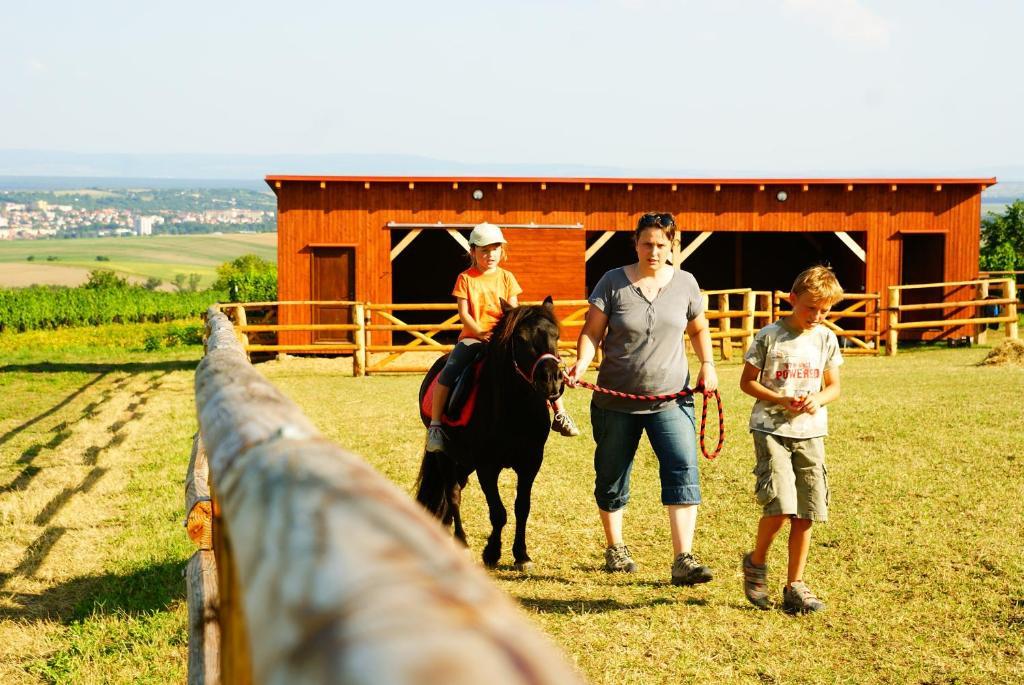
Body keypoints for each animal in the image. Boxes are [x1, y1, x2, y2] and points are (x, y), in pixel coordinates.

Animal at [413, 296, 565, 569]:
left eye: (556, 335)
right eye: (520, 339)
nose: (552, 381)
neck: (514, 409)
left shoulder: (530, 462)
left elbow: (522, 508)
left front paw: (521, 555)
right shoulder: (487, 466)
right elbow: (498, 512)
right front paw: (492, 552)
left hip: (463, 460)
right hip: (446, 456)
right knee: (453, 494)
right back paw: (461, 544)